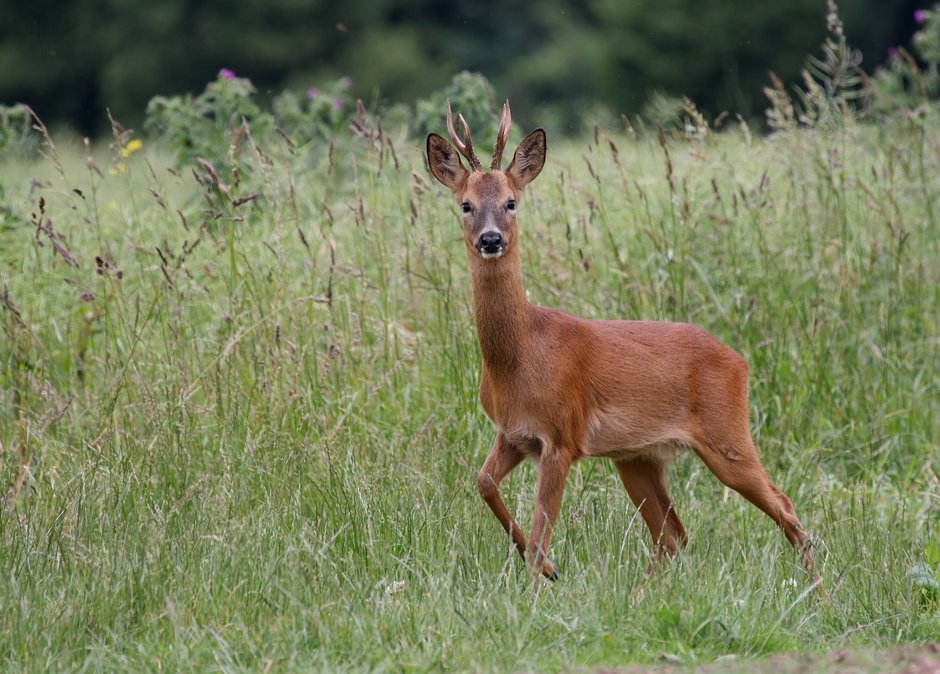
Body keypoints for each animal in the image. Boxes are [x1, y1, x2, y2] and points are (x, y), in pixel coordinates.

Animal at [425, 100, 824, 593]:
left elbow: (539, 535)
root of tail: (740, 362)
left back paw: (822, 597)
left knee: (784, 508)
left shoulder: (562, 435)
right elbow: (483, 483)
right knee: (673, 535)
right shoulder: (514, 434)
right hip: (637, 457)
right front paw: (550, 570)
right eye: (466, 204)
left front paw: (541, 580)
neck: (519, 356)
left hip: (727, 435)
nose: (491, 239)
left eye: (511, 202)